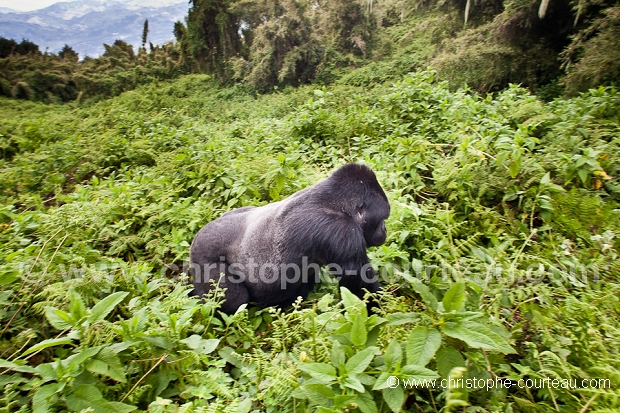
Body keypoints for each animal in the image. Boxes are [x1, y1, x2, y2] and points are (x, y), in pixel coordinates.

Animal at [190, 163, 392, 310]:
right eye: (382, 219)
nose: (385, 230)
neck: (335, 203)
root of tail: (196, 238)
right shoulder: (342, 232)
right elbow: (359, 285)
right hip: (202, 258)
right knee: (236, 300)